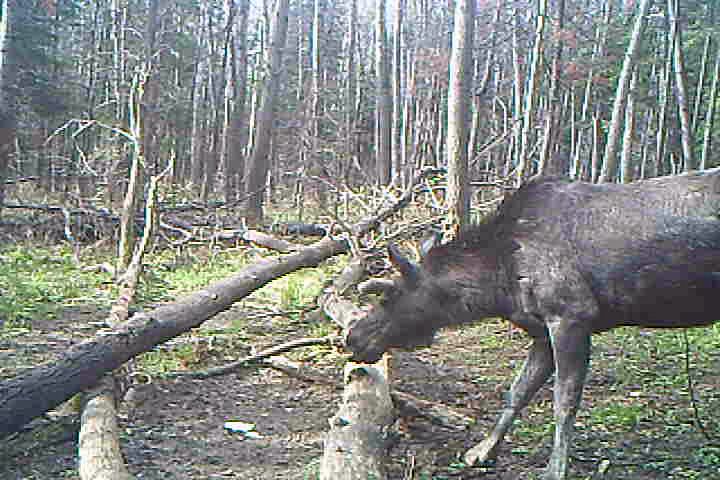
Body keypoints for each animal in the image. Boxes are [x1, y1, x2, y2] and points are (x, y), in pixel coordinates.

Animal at [346, 171, 720, 480]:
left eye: (390, 295)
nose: (352, 337)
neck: (499, 282)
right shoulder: (542, 330)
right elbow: (518, 392)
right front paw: (482, 451)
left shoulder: (571, 316)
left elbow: (564, 402)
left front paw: (556, 468)